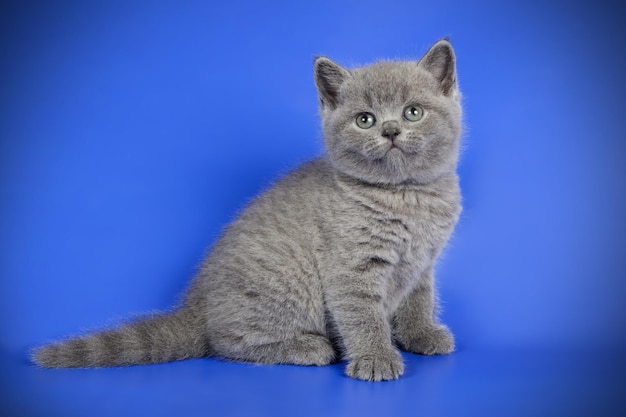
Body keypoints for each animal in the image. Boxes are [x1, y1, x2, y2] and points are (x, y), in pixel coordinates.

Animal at [31, 39, 460, 380]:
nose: (390, 130)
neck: (408, 196)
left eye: (413, 112)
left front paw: (420, 335)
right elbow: (362, 316)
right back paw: (308, 347)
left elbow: (418, 300)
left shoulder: (422, 262)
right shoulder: (351, 268)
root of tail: (198, 306)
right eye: (365, 120)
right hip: (282, 287)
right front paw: (375, 358)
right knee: (225, 342)